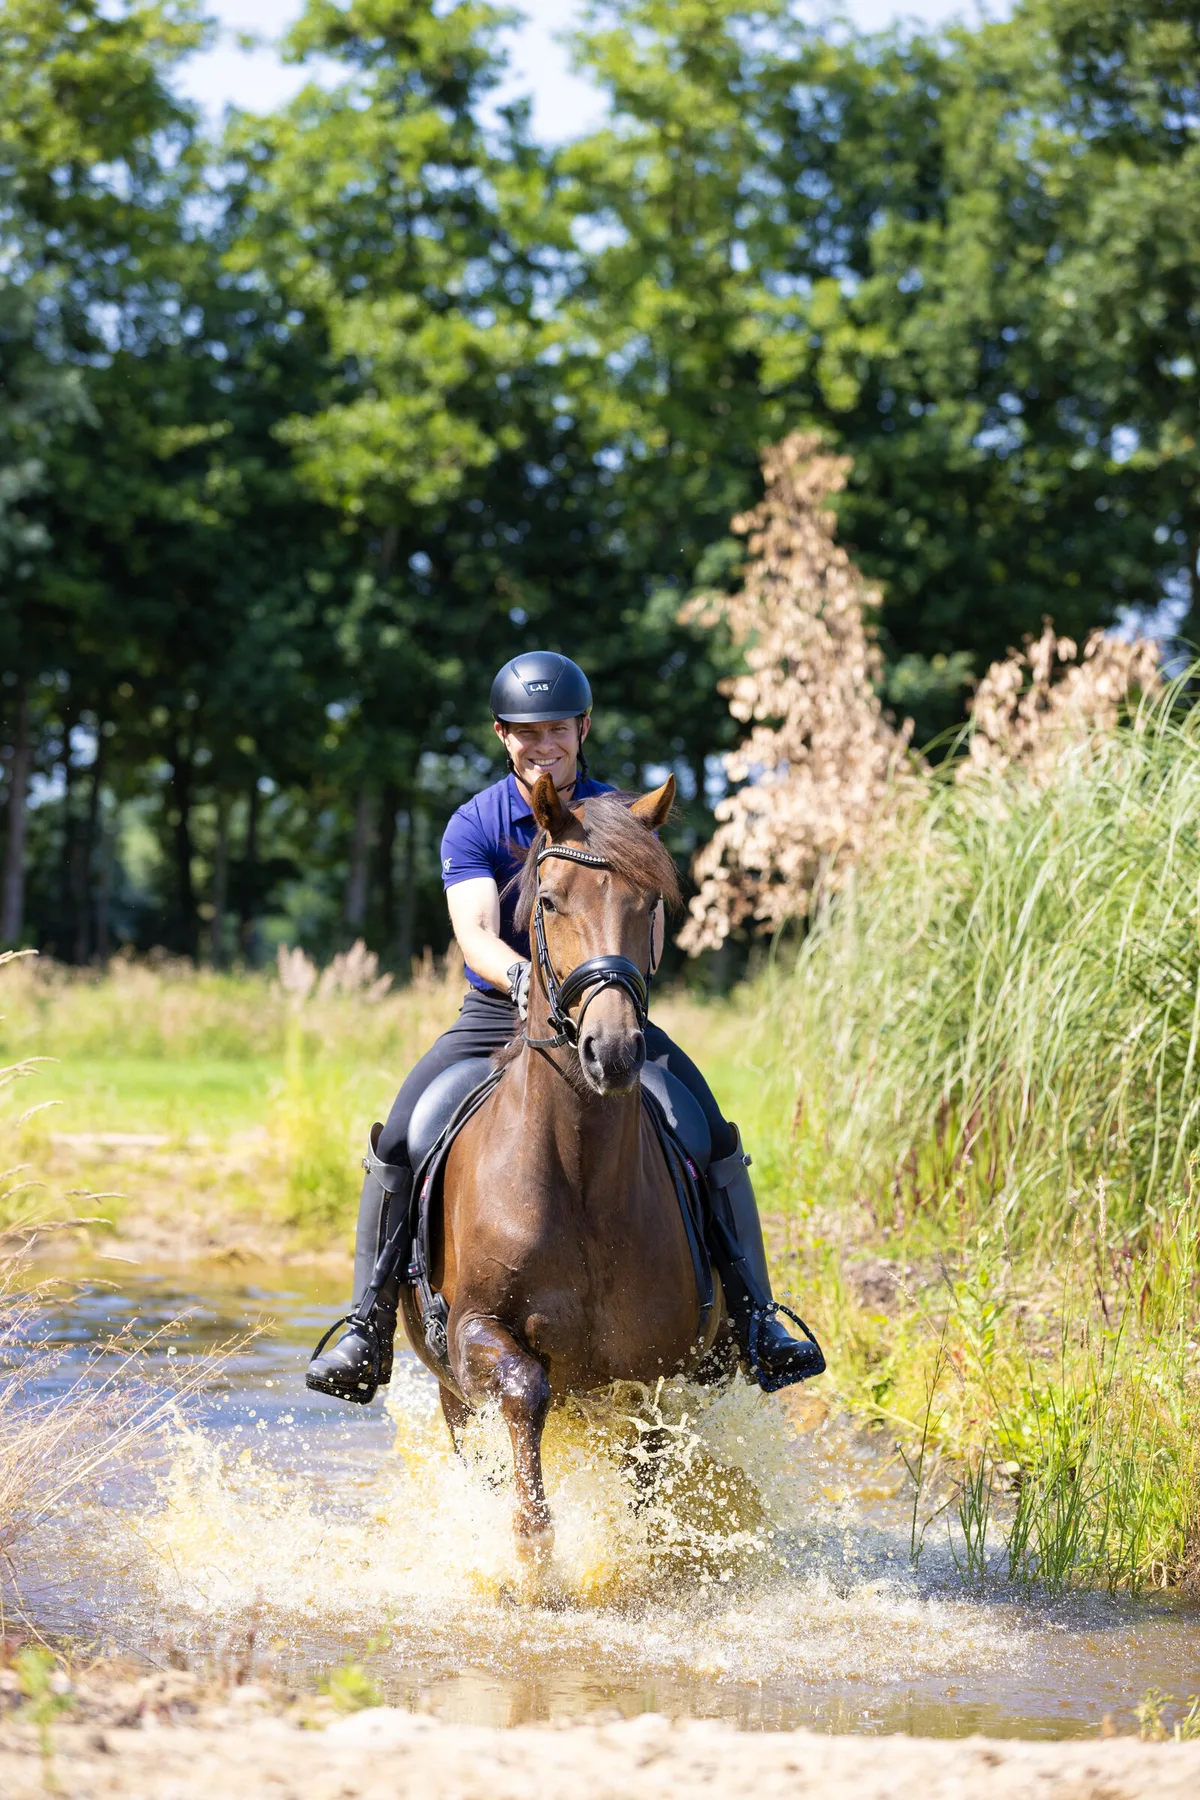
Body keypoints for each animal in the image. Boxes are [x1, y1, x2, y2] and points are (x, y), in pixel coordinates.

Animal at [397, 772, 729, 1557]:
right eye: (548, 901)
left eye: (651, 902)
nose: (613, 1051)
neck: (578, 1176)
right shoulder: (475, 1334)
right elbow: (526, 1390)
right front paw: (533, 1550)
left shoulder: (654, 1373)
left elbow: (645, 1473)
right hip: (451, 1395)